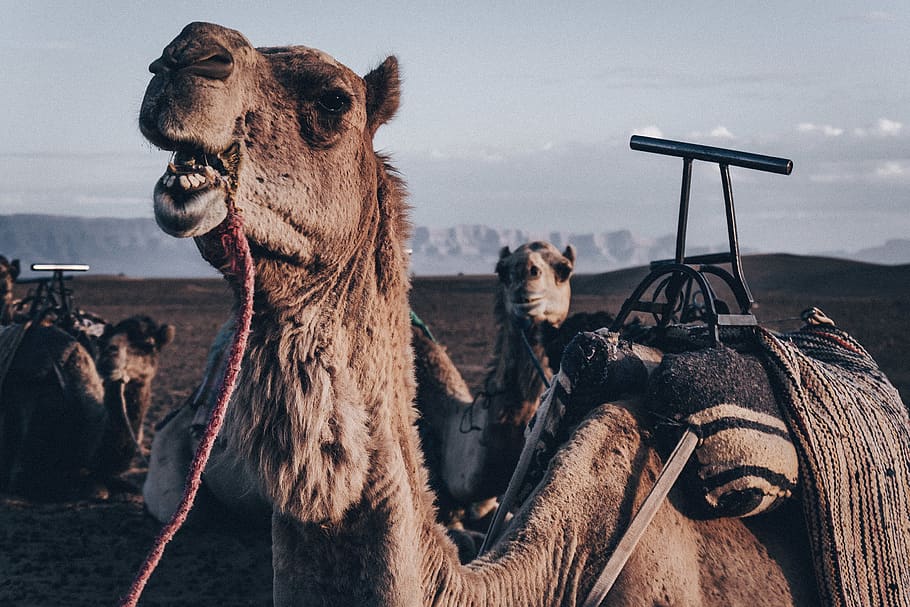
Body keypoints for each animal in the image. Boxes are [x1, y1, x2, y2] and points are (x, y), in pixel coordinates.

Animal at [0, 316, 174, 500]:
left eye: (148, 344)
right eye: (105, 342)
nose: (109, 354)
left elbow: (131, 487)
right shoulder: (23, 474)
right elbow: (98, 491)